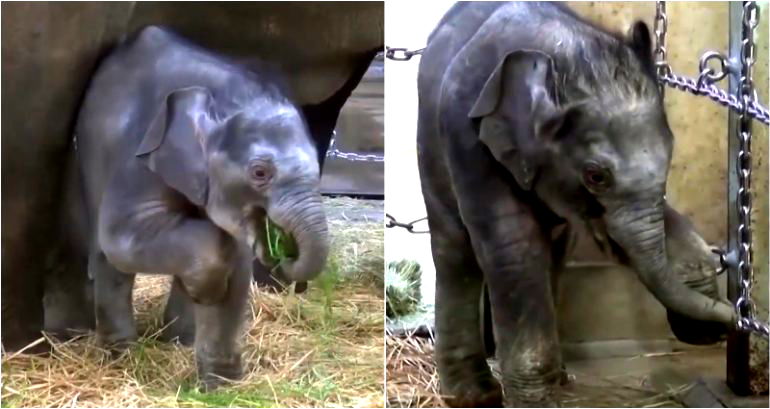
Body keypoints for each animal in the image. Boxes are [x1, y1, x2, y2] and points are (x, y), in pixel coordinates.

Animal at [76, 25, 328, 386]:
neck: (222, 94)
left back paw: (177, 340)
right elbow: (120, 237)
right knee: (106, 255)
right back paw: (121, 356)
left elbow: (236, 262)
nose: (283, 251)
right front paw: (207, 289)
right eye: (260, 172)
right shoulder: (138, 154)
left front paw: (222, 385)